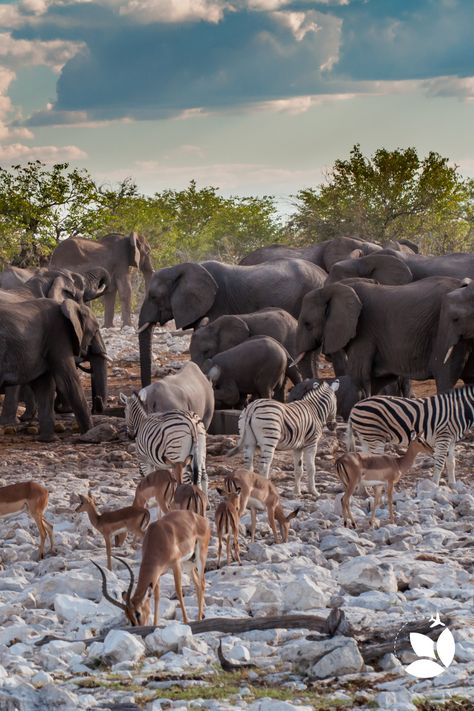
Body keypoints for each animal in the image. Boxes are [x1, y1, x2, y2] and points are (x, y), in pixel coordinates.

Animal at [0, 296, 105, 440]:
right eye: (96, 331)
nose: (97, 405)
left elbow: (45, 386)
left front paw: (48, 440)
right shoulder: (58, 336)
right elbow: (69, 381)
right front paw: (89, 433)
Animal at [294, 276, 472, 398]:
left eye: (307, 324)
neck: (335, 288)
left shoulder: (364, 331)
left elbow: (359, 377)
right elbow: (377, 380)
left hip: (445, 330)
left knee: (445, 375)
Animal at [346, 386, 474, 486]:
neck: (460, 410)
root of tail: (355, 406)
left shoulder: (452, 439)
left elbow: (451, 463)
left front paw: (453, 485)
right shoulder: (444, 436)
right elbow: (440, 462)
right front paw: (435, 485)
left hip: (365, 438)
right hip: (374, 437)